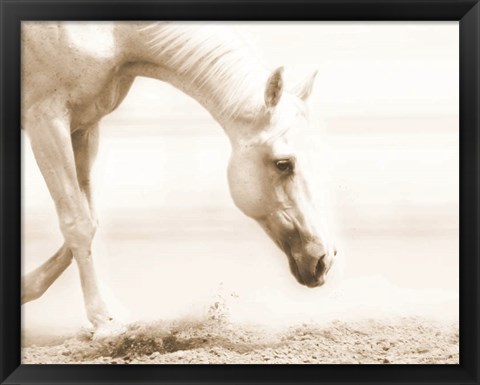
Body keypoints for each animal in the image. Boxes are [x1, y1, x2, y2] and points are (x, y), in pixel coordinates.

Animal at [22, 21, 336, 332]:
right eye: (283, 164)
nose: (323, 260)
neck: (116, 34)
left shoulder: (84, 126)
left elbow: (89, 219)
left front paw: (27, 287)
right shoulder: (46, 119)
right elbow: (77, 223)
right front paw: (105, 321)